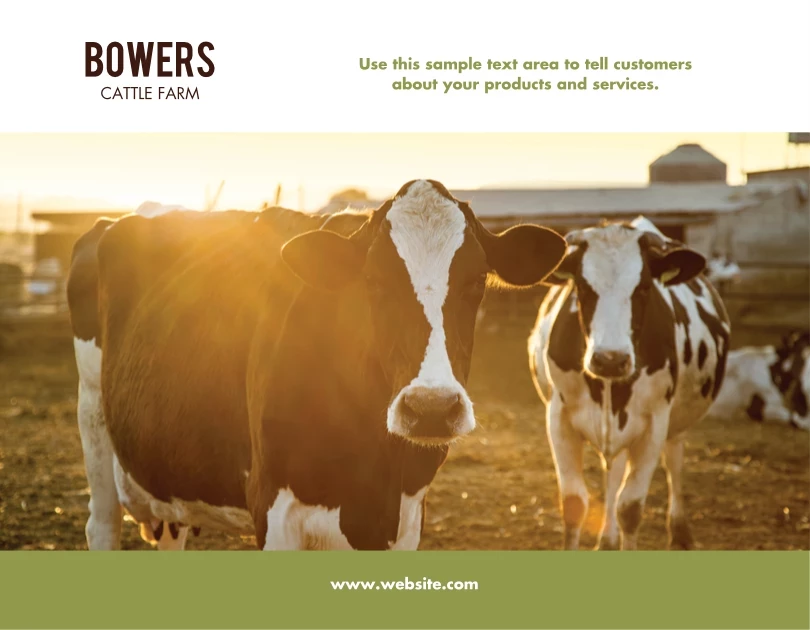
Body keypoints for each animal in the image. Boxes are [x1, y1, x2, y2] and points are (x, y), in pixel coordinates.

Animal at [71, 179, 566, 551]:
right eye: (372, 280)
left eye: (477, 280)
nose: (431, 407)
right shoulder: (273, 509)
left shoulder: (407, 516)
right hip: (93, 415)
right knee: (101, 525)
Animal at [528, 216, 730, 551]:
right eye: (582, 287)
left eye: (644, 287)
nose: (610, 359)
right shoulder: (558, 418)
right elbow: (574, 504)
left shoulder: (654, 424)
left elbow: (631, 508)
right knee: (615, 469)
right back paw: (608, 538)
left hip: (675, 423)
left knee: (674, 461)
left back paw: (680, 531)